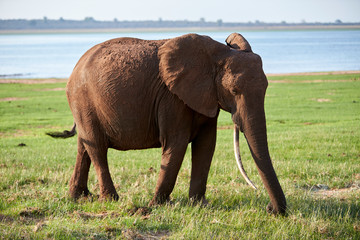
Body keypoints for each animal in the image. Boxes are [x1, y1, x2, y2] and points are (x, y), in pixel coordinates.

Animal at [49, 32, 286, 216]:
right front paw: (158, 205)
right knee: (97, 147)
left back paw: (79, 198)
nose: (269, 209)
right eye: (235, 91)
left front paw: (199, 205)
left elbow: (206, 145)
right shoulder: (172, 98)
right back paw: (110, 200)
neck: (218, 53)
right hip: (83, 99)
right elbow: (177, 143)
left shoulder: (206, 96)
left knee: (84, 146)